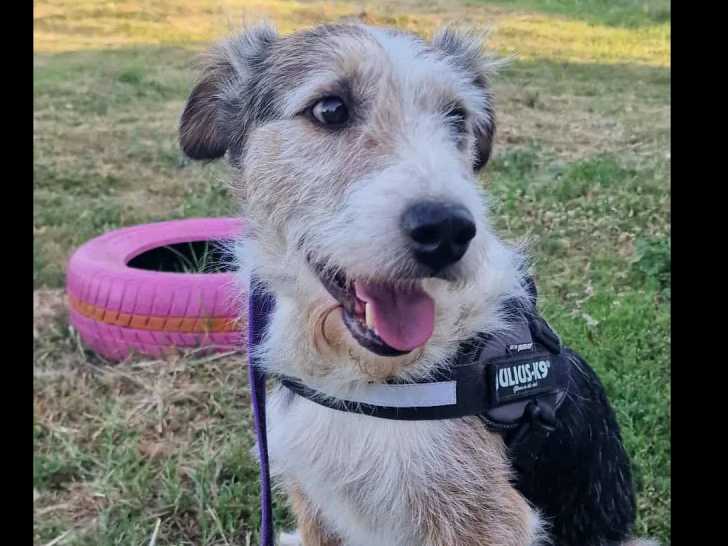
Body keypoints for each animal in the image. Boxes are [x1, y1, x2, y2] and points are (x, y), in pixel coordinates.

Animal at [179, 22, 655, 546]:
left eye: (457, 118)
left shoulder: (488, 519)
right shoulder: (315, 506)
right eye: (330, 109)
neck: (365, 377)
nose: (448, 231)